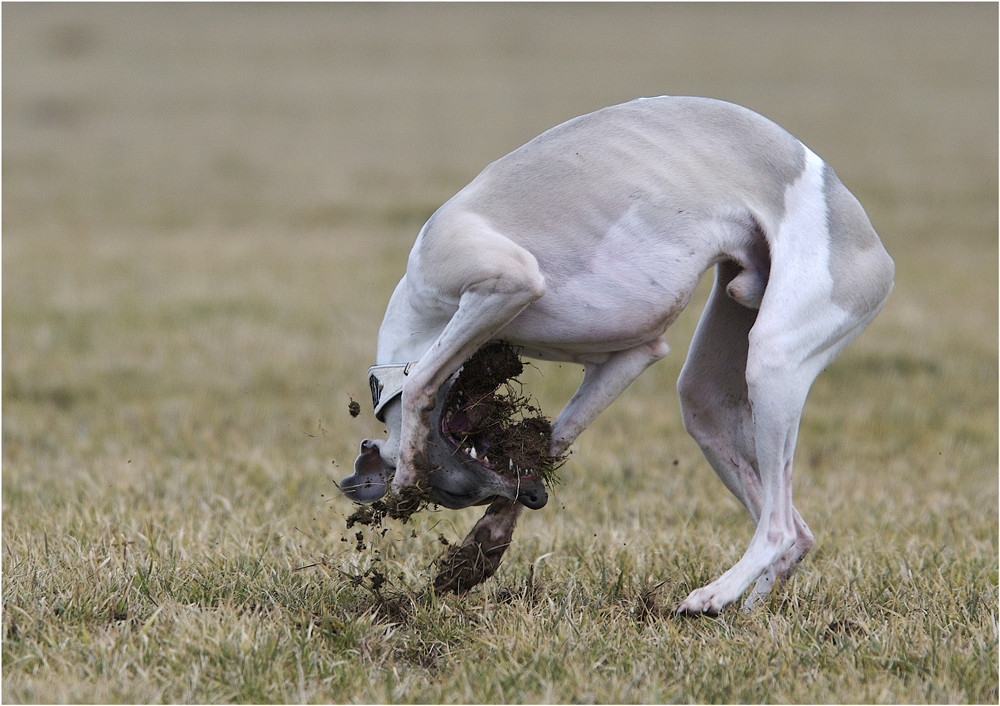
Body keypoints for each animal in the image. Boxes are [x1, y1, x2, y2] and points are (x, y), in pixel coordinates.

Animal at [340, 95, 896, 612]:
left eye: (454, 494)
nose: (538, 498)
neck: (417, 304)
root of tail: (878, 248)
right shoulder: (634, 354)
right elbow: (557, 437)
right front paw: (485, 543)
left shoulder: (507, 280)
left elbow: (420, 384)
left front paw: (407, 476)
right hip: (711, 400)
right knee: (795, 532)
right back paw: (745, 604)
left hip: (772, 360)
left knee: (778, 527)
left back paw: (711, 596)